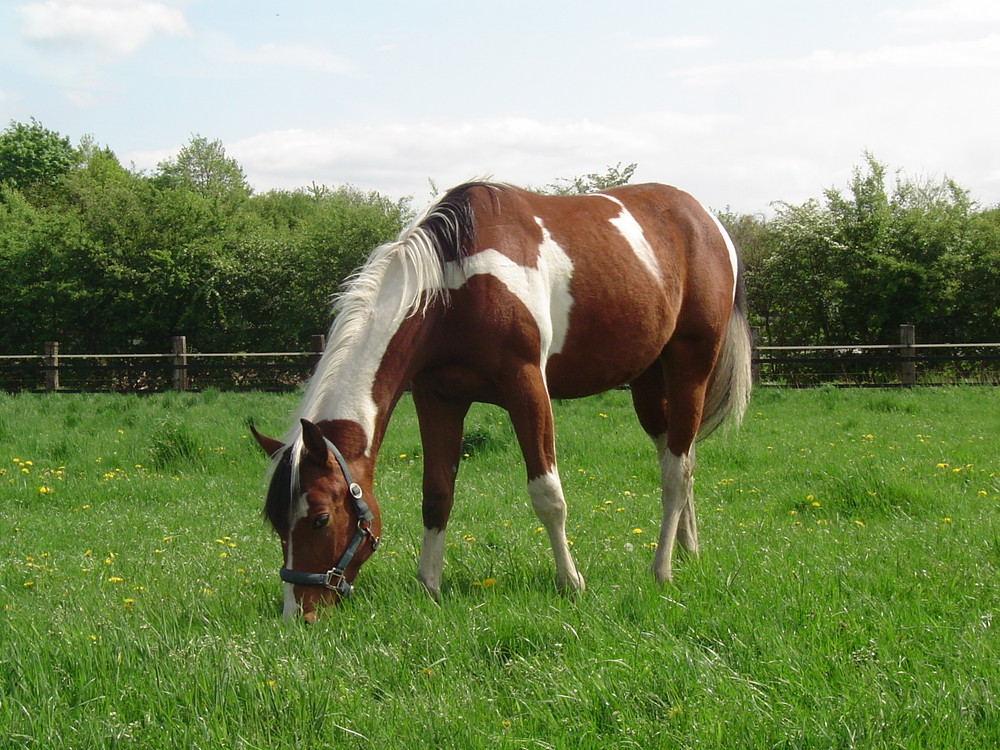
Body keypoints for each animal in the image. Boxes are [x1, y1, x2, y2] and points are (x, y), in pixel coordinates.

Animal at [250, 181, 752, 624]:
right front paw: (428, 587)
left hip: (690, 365)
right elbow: (437, 494)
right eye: (275, 523)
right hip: (649, 380)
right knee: (678, 456)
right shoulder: (438, 397)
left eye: (319, 519)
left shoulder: (526, 386)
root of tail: (707, 221)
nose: (299, 614)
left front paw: (571, 583)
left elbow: (547, 494)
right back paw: (688, 550)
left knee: (675, 471)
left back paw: (662, 569)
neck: (450, 287)